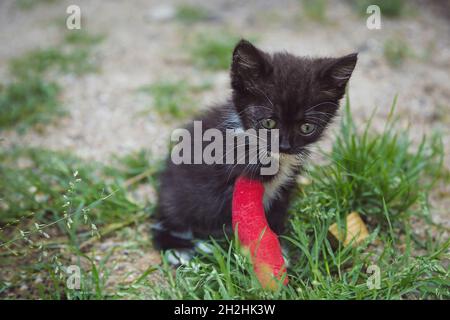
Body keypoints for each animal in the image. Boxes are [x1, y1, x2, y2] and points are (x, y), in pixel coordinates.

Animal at [153, 39, 356, 262]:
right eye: (268, 123)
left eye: (307, 127)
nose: (285, 146)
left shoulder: (285, 188)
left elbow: (275, 214)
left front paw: (278, 247)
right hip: (178, 198)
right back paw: (178, 248)